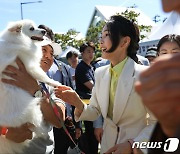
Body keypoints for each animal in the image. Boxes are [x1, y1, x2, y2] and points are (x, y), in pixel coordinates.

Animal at [0, 19, 60, 153]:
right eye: (32, 29)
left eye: (37, 26)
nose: (43, 31)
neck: (17, 40)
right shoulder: (31, 66)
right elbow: (44, 77)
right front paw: (55, 83)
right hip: (33, 111)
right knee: (38, 127)